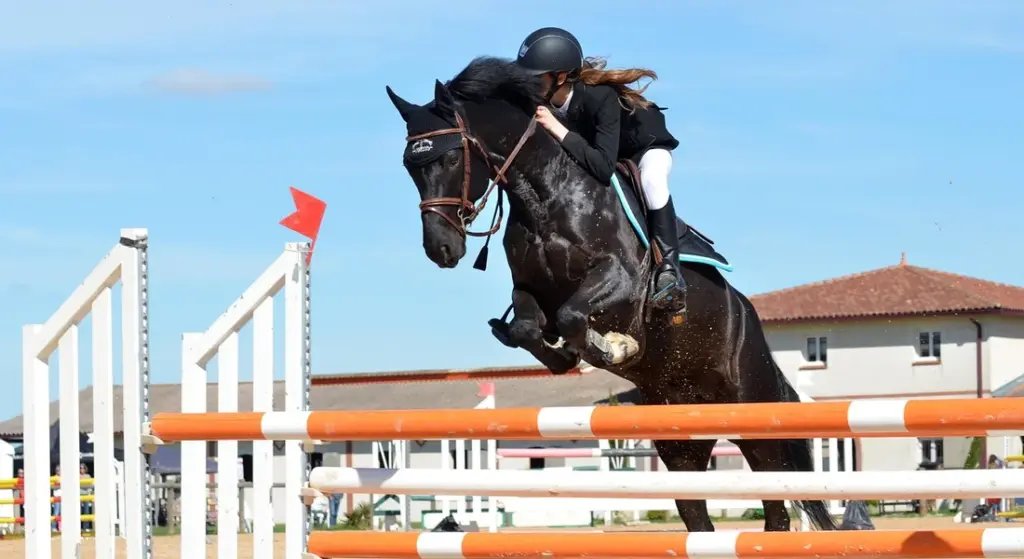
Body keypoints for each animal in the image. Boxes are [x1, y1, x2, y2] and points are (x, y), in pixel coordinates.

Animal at [386, 56, 839, 533]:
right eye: (410, 167)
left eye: (453, 155)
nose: (440, 249)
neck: (546, 195)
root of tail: (749, 318)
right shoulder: (530, 290)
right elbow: (530, 328)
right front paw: (566, 355)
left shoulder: (620, 279)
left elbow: (574, 315)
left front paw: (616, 347)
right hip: (681, 442)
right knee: (701, 518)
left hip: (755, 417)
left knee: (776, 506)